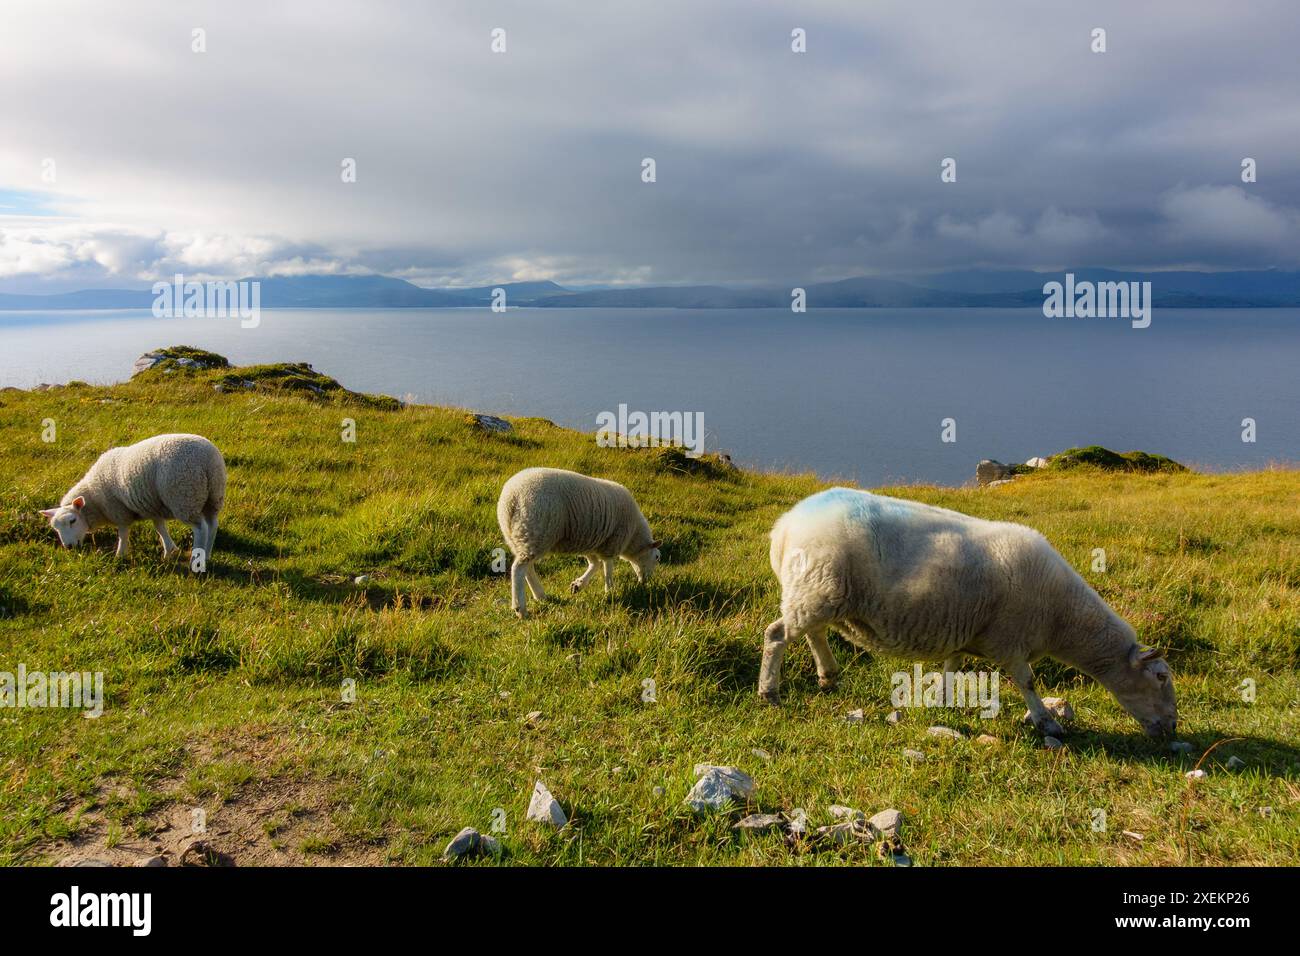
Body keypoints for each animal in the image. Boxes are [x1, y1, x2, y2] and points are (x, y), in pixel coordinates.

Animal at [39, 431, 227, 561]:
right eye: (55, 528)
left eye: (72, 520)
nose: (69, 547)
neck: (94, 498)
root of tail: (208, 460)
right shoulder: (154, 507)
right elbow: (160, 528)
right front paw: (169, 551)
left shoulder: (119, 511)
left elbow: (123, 533)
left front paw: (120, 555)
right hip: (213, 496)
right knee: (212, 525)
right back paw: (207, 554)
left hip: (184, 496)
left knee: (200, 528)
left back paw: (197, 558)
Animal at [496, 468, 660, 621]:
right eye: (657, 557)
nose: (646, 582)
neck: (634, 536)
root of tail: (511, 498)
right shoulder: (613, 541)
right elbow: (607, 567)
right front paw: (610, 590)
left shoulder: (590, 541)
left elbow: (595, 564)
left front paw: (578, 585)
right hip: (535, 530)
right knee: (518, 569)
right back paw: (520, 609)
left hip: (521, 537)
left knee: (528, 568)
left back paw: (540, 595)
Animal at [759, 489, 1180, 738]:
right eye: (1161, 677)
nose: (1172, 728)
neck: (1062, 619)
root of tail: (784, 527)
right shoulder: (1010, 640)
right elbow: (1027, 682)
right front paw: (1046, 721)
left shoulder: (964, 633)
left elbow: (951, 669)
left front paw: (942, 703)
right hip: (817, 585)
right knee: (778, 634)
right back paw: (769, 692)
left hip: (818, 592)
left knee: (813, 631)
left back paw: (828, 675)